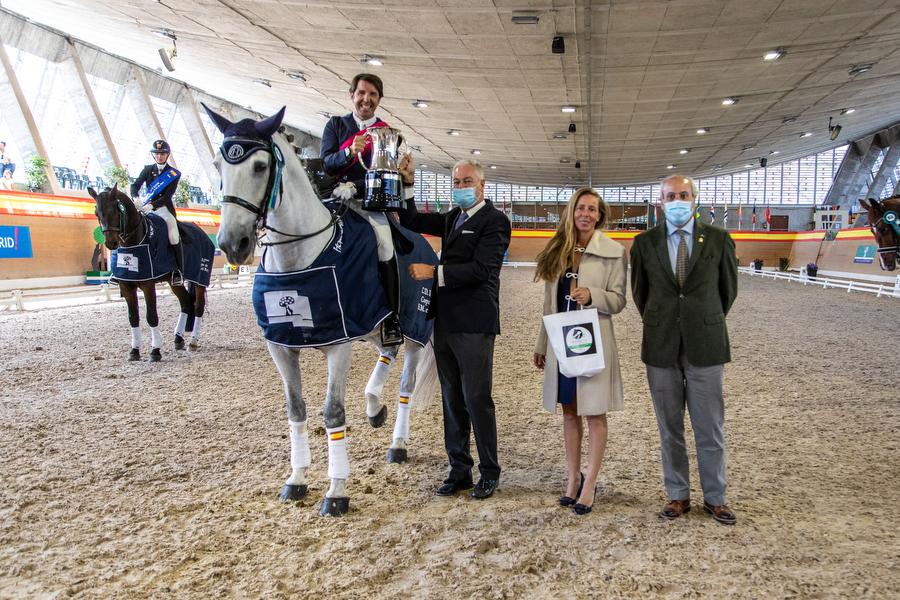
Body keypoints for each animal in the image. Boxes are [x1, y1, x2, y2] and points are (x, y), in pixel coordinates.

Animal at [90, 183, 212, 360]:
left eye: (116, 210)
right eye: (96, 213)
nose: (111, 243)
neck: (134, 242)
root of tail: (202, 232)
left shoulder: (148, 285)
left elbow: (152, 316)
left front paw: (155, 351)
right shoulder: (126, 286)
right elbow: (133, 318)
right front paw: (134, 351)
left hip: (200, 278)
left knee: (198, 307)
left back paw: (193, 341)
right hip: (174, 282)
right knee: (185, 303)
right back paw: (178, 339)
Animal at [207, 104, 440, 516]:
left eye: (260, 166)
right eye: (219, 164)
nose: (233, 244)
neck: (298, 256)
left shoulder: (339, 343)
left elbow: (333, 412)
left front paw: (336, 491)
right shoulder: (281, 346)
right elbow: (296, 409)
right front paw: (297, 479)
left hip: (413, 331)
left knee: (405, 384)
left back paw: (397, 443)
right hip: (374, 327)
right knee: (387, 349)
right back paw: (374, 406)